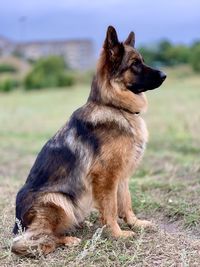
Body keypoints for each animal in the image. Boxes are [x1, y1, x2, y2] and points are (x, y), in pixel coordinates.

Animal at [11, 26, 166, 256]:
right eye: (134, 64)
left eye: (142, 61)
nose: (165, 74)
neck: (114, 106)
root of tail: (16, 224)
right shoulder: (106, 177)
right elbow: (111, 208)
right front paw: (117, 234)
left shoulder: (122, 175)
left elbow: (126, 201)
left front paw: (135, 223)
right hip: (59, 201)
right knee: (30, 241)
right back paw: (68, 239)